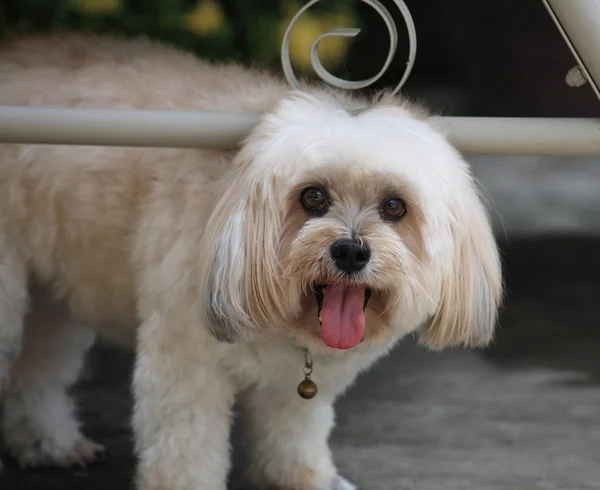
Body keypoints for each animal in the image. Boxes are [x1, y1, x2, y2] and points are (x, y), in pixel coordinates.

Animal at [0, 34, 504, 490]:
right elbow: (186, 452)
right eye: (312, 197)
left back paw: (49, 443)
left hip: (53, 292)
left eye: (395, 206)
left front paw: (305, 478)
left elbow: (293, 433)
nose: (351, 250)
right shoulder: (184, 367)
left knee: (37, 367)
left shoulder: (297, 389)